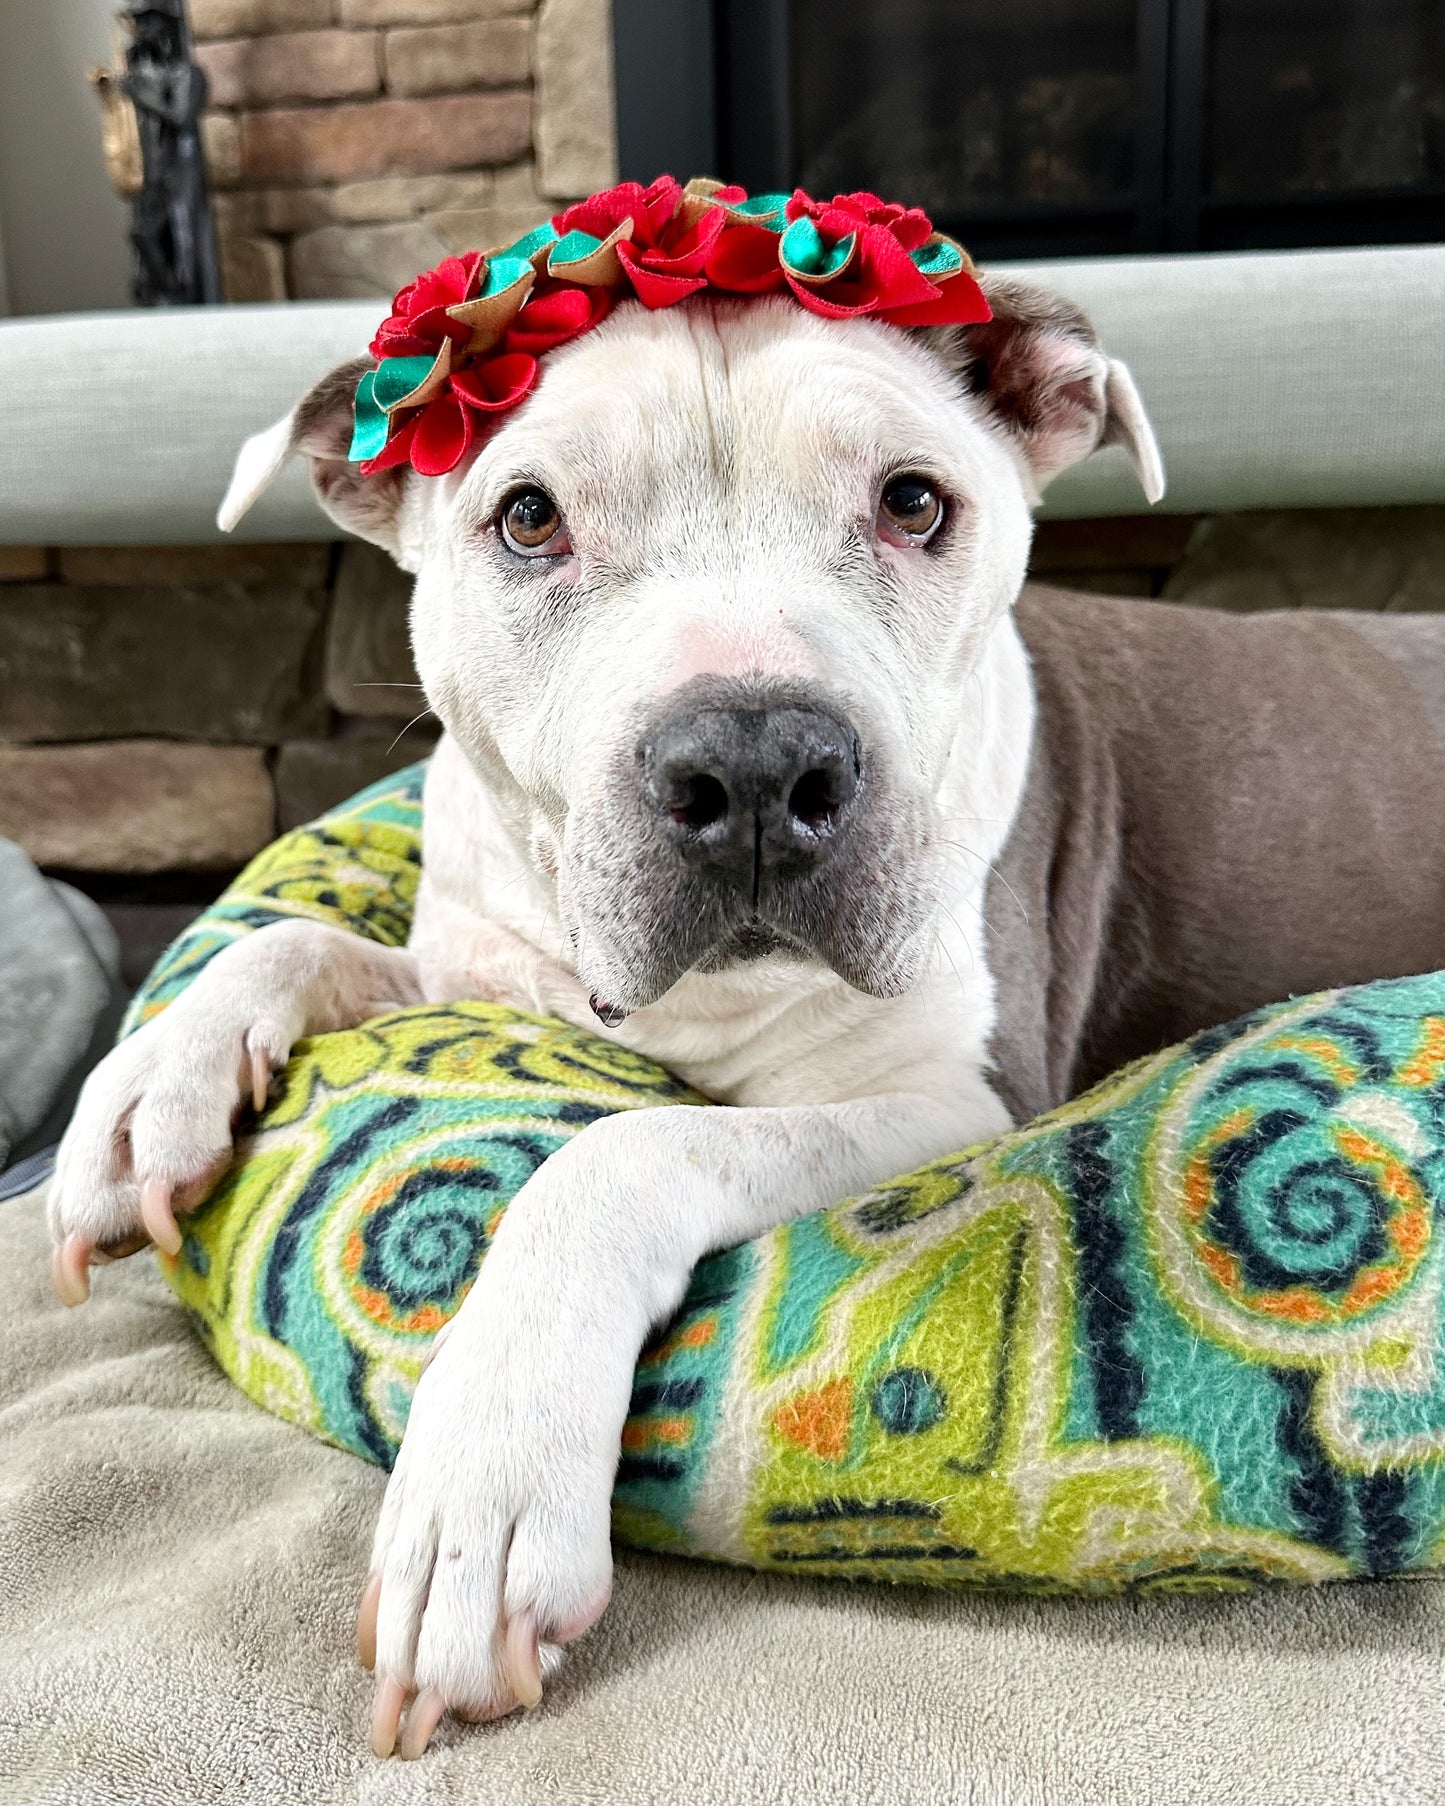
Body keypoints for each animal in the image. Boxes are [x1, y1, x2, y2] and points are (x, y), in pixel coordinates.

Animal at [47, 274, 1445, 1755]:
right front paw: (150, 1090)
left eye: (913, 501)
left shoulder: (953, 1100)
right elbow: (298, 938)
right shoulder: (481, 960)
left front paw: (482, 1491)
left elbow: (622, 1151)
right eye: (529, 517)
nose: (759, 763)